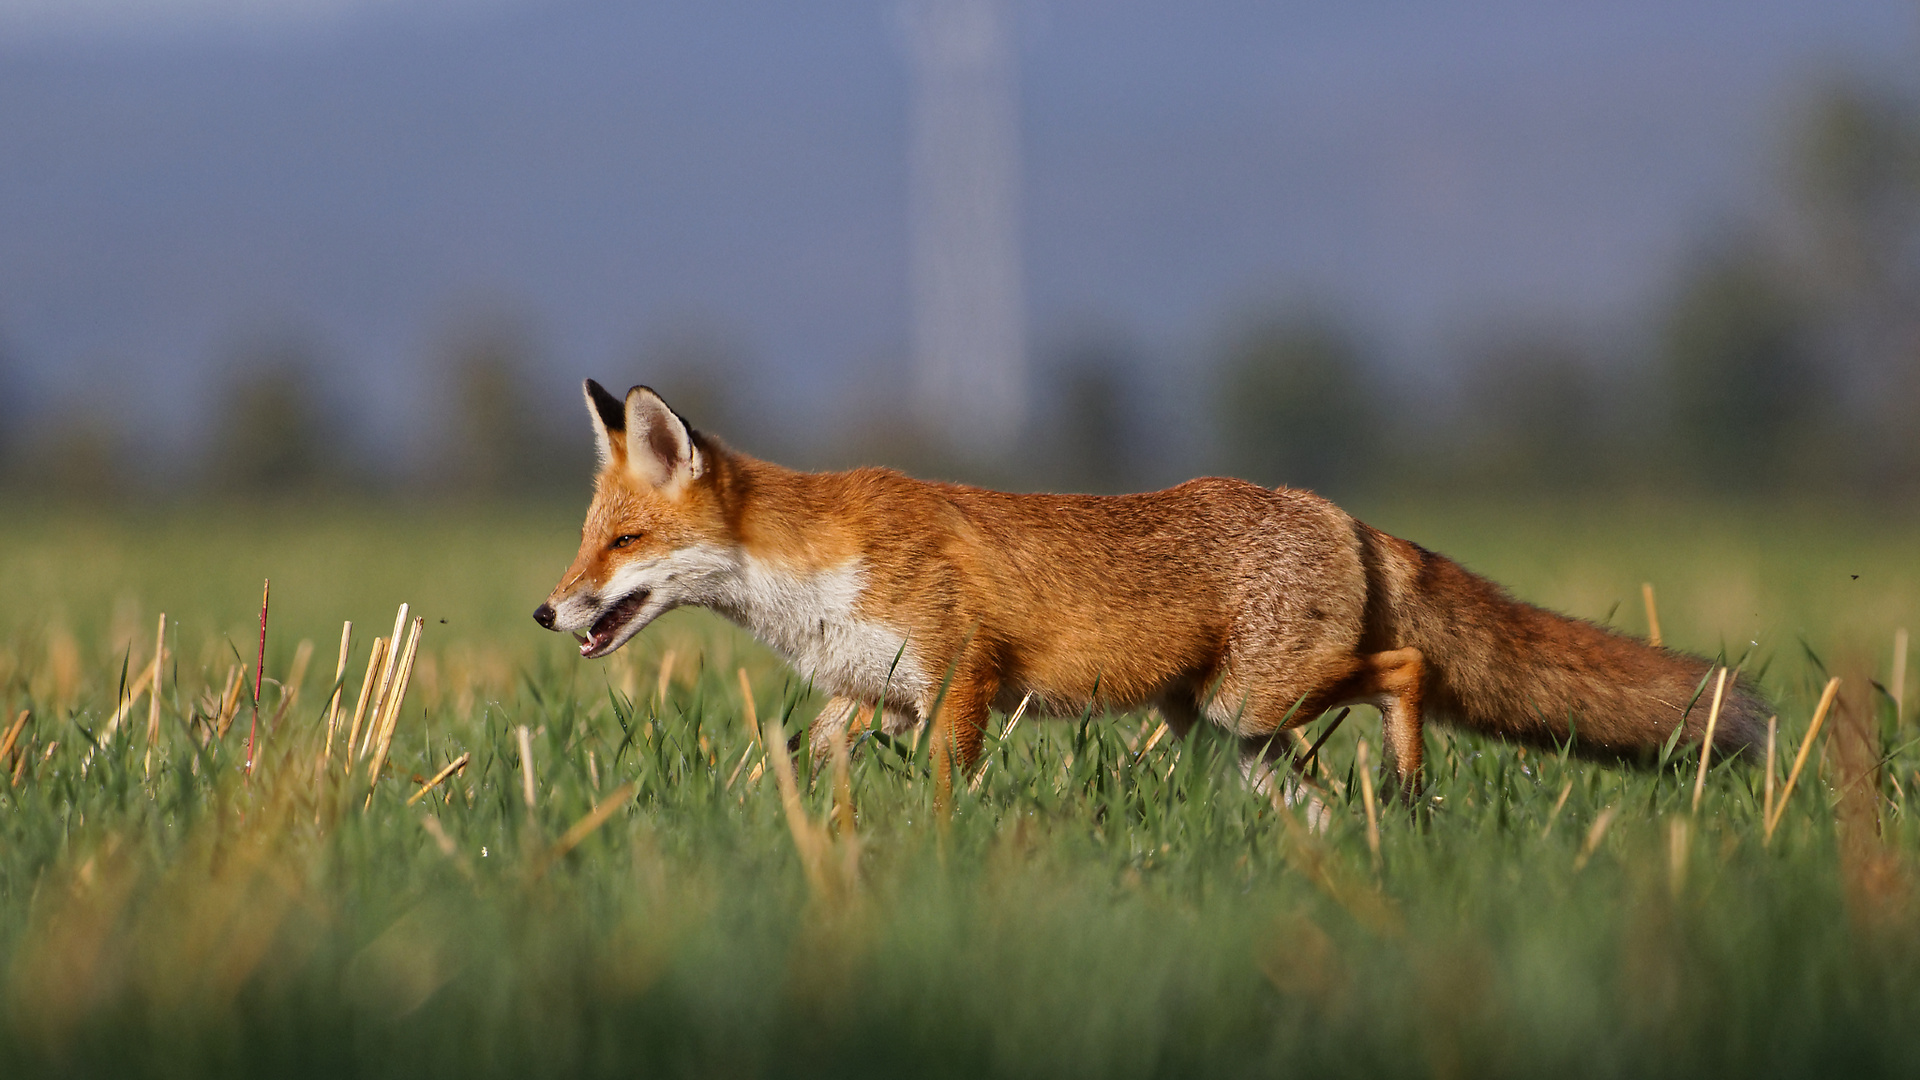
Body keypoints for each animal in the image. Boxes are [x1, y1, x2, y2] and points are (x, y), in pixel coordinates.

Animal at [537, 378, 1766, 791]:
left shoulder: (964, 678)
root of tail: (1335, 511)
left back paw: (1412, 791)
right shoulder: (862, 694)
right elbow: (788, 770)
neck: (808, 583)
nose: (546, 610)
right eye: (585, 544)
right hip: (1234, 729)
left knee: (1409, 664)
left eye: (623, 543)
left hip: (1258, 697)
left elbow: (945, 790)